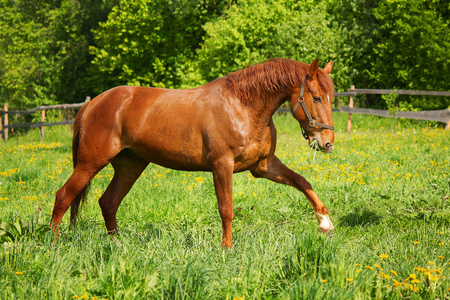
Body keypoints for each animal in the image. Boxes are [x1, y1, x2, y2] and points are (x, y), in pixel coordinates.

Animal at [51, 58, 336, 248]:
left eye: (331, 96)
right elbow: (226, 208)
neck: (242, 107)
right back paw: (53, 245)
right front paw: (227, 248)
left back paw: (118, 246)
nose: (327, 142)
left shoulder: (263, 166)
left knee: (108, 202)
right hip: (91, 162)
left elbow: (302, 181)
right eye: (317, 97)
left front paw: (325, 223)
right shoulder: (222, 165)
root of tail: (93, 103)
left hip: (130, 166)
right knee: (64, 196)